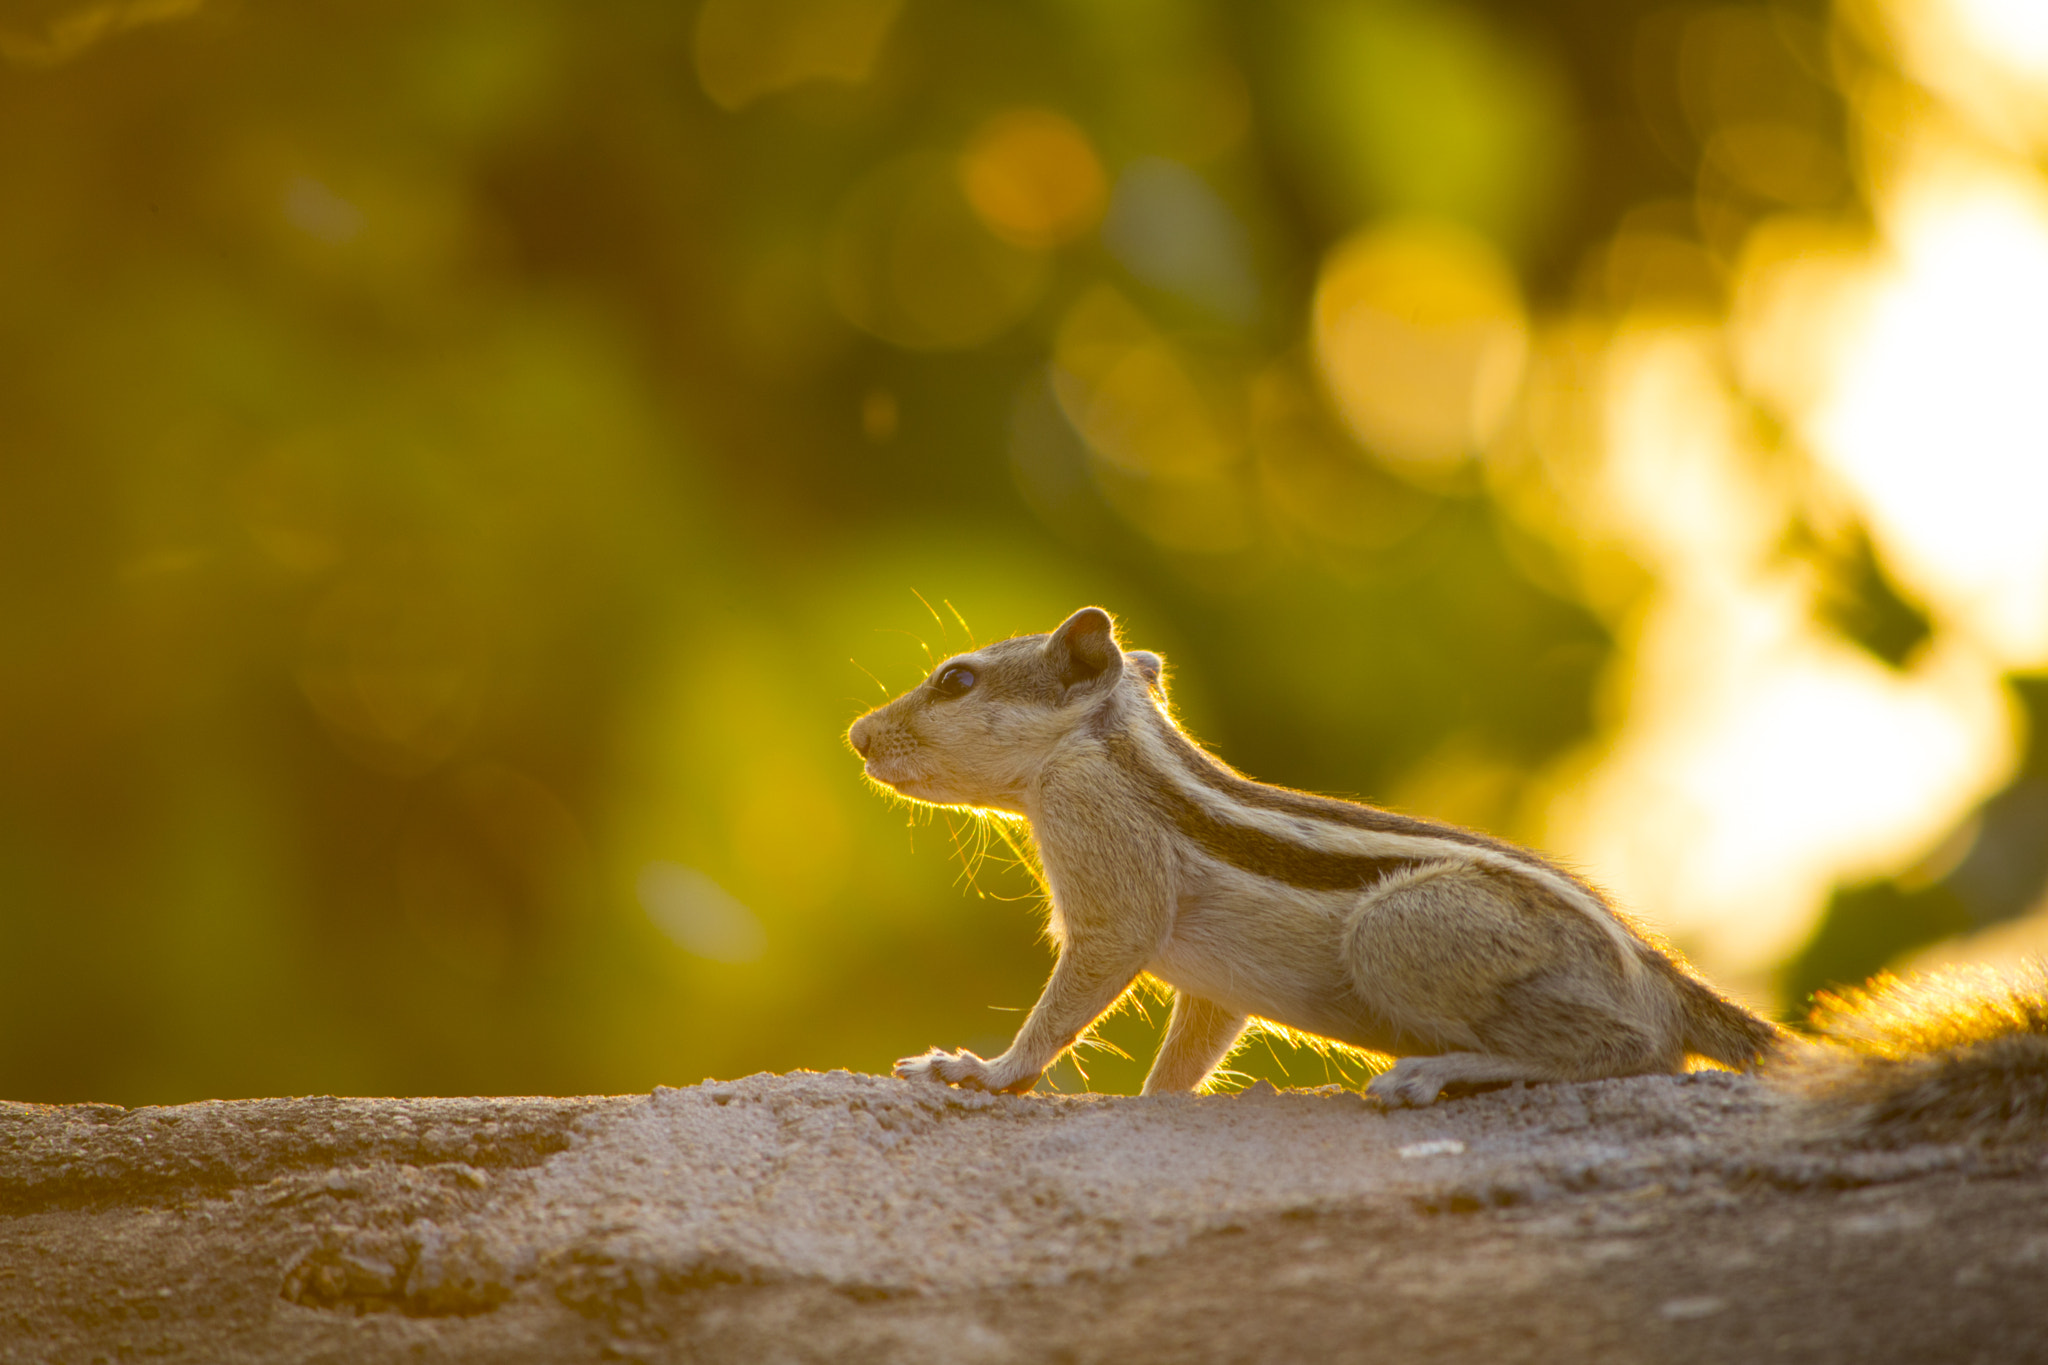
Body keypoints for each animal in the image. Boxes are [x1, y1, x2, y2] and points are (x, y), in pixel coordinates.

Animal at [848, 607, 2048, 1141]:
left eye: (954, 680)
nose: (859, 737)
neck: (1103, 746)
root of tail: (1654, 970)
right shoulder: (1207, 987)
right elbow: (1192, 1042)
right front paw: (1155, 1101)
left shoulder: (1111, 873)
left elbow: (1082, 983)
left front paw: (982, 1070)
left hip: (1403, 932)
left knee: (1638, 1054)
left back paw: (1439, 1073)